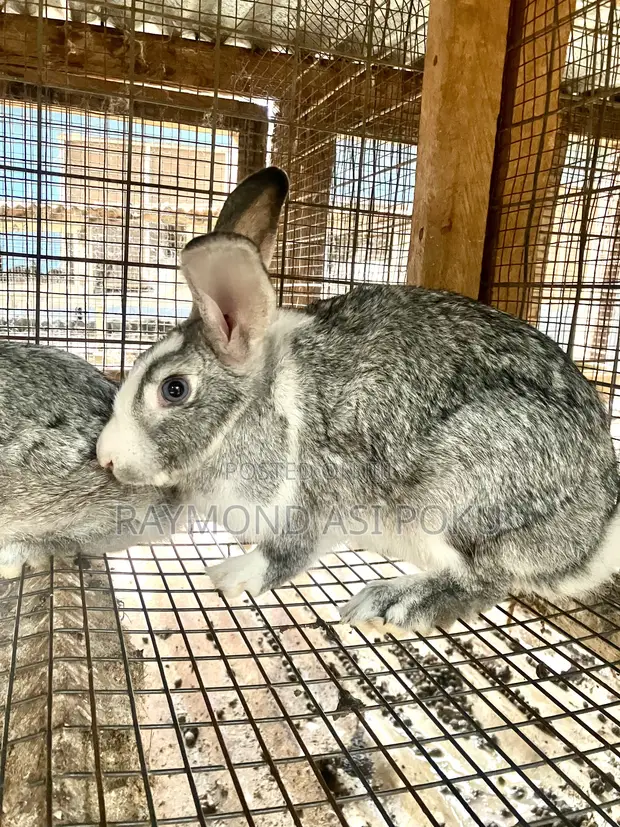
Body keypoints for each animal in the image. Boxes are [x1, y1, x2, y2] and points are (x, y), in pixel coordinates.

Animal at [96, 166, 620, 632]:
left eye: (174, 389)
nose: (105, 457)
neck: (252, 409)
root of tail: (590, 538)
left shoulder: (317, 499)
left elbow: (284, 554)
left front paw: (230, 576)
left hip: (464, 501)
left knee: (487, 581)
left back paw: (391, 603)